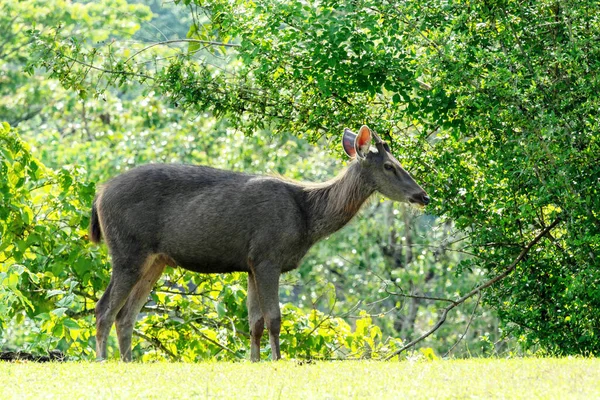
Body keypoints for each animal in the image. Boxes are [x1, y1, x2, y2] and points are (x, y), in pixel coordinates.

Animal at [89, 126, 428, 362]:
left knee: (126, 315)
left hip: (155, 260)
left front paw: (254, 361)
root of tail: (100, 193)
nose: (423, 195)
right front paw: (277, 360)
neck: (307, 219)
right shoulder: (268, 256)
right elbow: (274, 319)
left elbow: (255, 322)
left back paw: (127, 361)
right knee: (104, 308)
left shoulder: (250, 263)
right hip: (128, 249)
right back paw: (103, 360)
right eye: (389, 166)